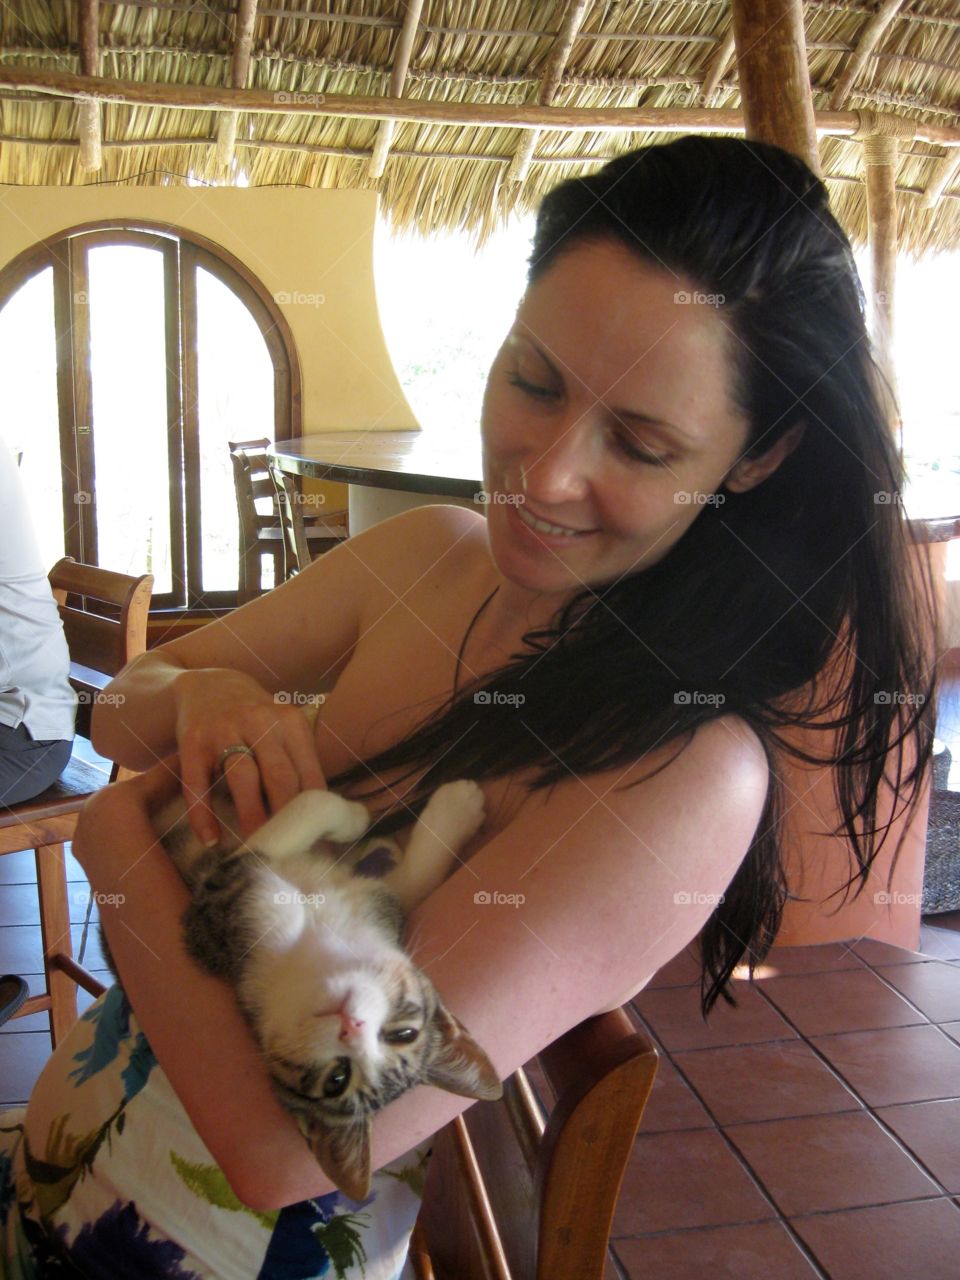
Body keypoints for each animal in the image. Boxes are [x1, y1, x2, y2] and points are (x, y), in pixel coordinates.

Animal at [104, 773, 504, 1203]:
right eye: (404, 1034)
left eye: (336, 1080)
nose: (352, 1026)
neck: (313, 936)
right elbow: (331, 820)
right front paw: (370, 819)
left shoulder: (219, 897)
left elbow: (389, 864)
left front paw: (411, 814)